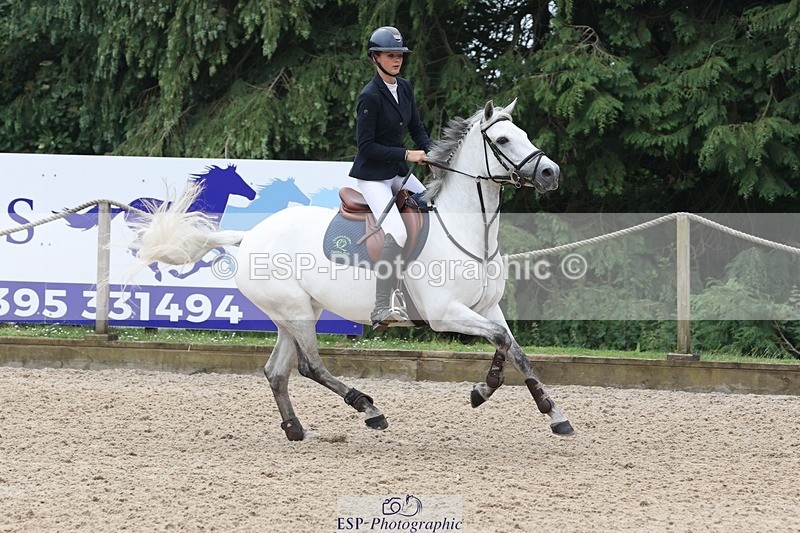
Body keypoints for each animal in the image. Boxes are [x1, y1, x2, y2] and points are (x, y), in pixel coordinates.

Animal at [59, 164, 256, 281]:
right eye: (236, 179)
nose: (252, 194)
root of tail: (129, 204)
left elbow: (215, 255)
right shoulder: (199, 237)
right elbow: (212, 256)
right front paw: (177, 272)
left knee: (136, 249)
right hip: (144, 232)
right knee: (135, 249)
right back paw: (157, 271)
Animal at [129, 100, 573, 440]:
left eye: (524, 133)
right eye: (503, 140)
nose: (551, 173)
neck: (468, 231)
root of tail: (249, 235)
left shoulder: (486, 308)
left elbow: (512, 348)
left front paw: (543, 410)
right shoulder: (446, 313)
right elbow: (501, 340)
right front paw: (488, 391)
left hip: (296, 312)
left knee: (277, 371)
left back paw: (296, 429)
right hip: (294, 309)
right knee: (309, 365)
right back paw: (368, 408)